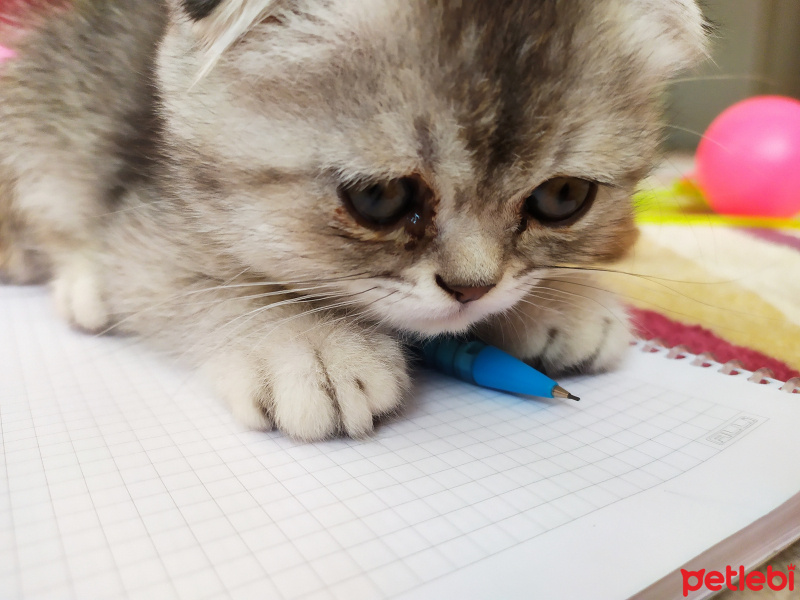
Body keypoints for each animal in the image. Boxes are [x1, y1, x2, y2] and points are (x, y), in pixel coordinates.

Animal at [0, 0, 708, 440]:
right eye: (380, 198)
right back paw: (84, 286)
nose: (472, 288)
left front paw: (560, 297)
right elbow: (196, 279)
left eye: (563, 196)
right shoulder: (145, 217)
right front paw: (305, 342)